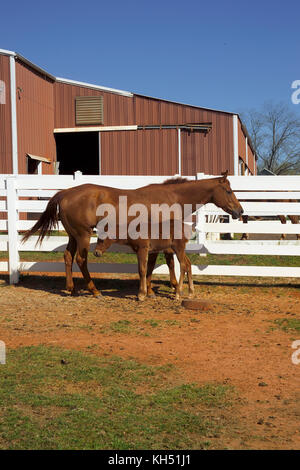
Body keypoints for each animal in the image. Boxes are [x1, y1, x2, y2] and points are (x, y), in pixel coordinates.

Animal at [21, 173, 244, 302]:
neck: (172, 198)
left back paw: (71, 289)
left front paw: (154, 289)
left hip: (73, 236)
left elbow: (158, 263)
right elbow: (163, 263)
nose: (240, 211)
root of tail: (65, 192)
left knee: (68, 257)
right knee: (81, 259)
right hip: (83, 235)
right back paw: (94, 290)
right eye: (228, 190)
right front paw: (163, 289)